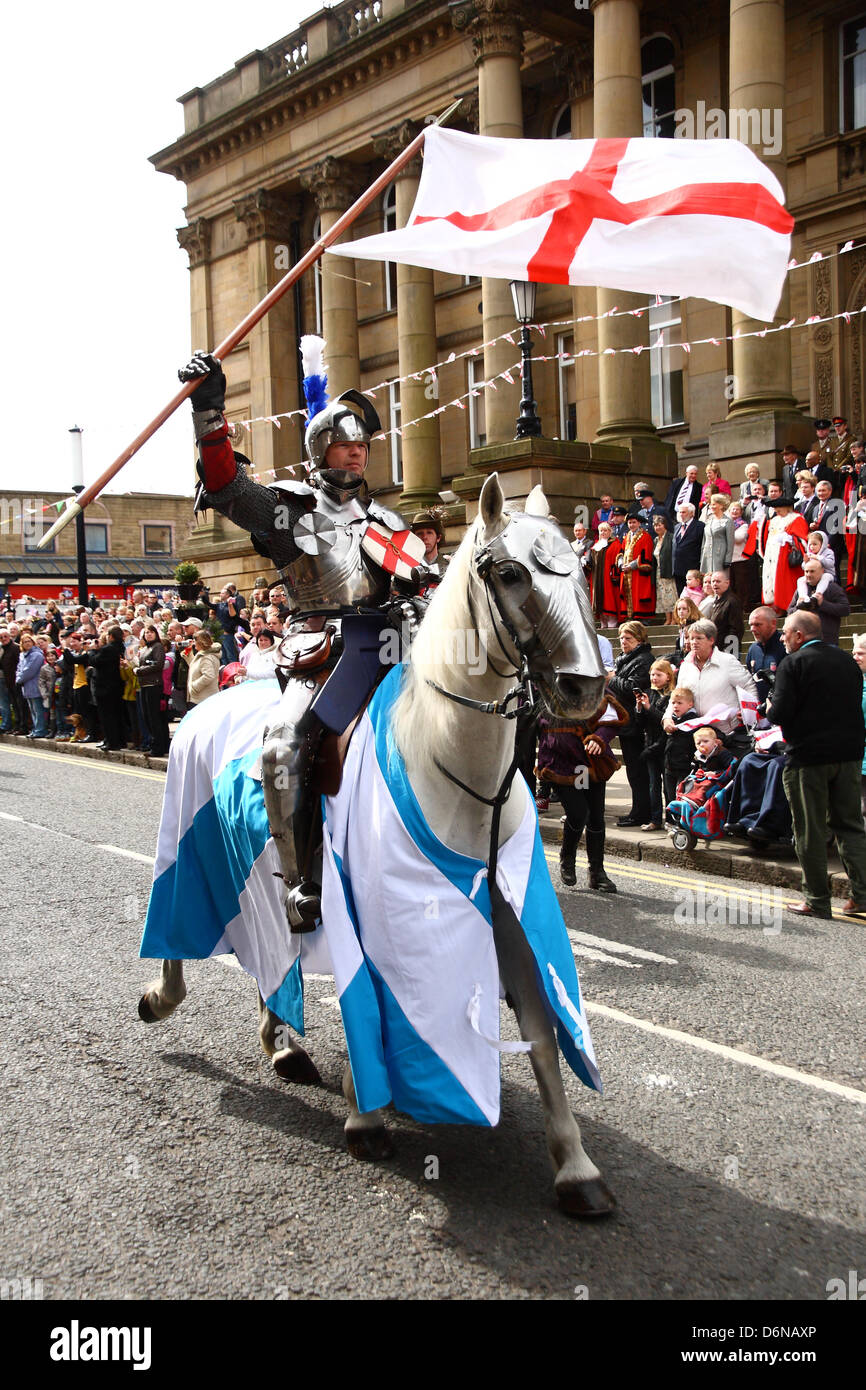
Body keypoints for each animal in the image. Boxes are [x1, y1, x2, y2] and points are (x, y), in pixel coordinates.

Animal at [140, 475, 617, 1217]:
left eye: (583, 569)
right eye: (512, 572)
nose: (584, 687)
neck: (446, 759)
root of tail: (208, 699)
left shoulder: (509, 913)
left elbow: (541, 1030)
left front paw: (576, 1167)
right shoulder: (372, 907)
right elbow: (368, 1004)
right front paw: (365, 1114)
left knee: (273, 953)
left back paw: (283, 1046)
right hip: (194, 844)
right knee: (181, 925)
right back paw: (163, 997)